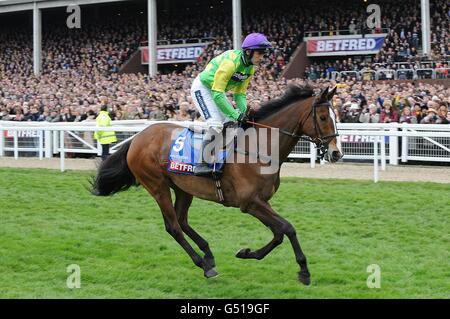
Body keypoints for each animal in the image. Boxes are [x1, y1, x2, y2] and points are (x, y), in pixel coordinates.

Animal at [93, 85, 342, 284]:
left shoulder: (261, 202)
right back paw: (203, 265)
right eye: (323, 118)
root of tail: (137, 138)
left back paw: (209, 255)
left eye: (336, 116)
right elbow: (287, 228)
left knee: (182, 220)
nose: (336, 153)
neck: (258, 148)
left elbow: (279, 233)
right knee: (173, 226)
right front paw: (304, 271)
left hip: (183, 188)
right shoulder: (250, 203)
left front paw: (246, 253)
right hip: (157, 186)